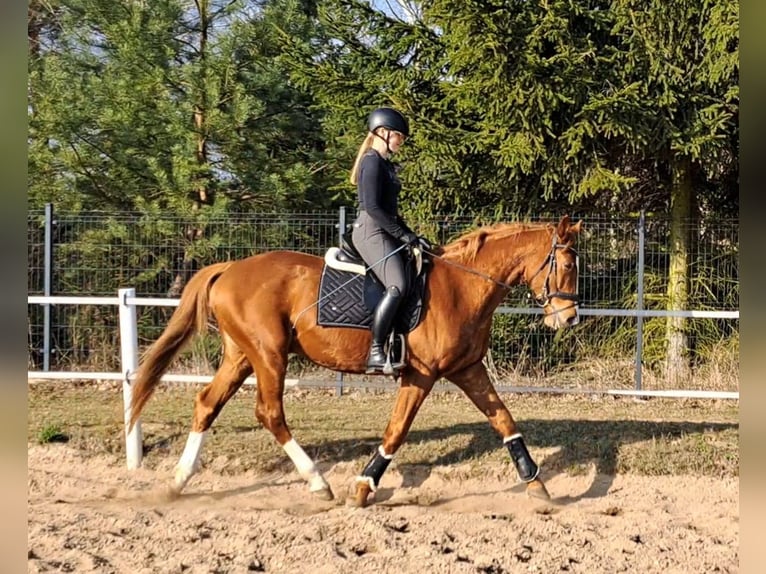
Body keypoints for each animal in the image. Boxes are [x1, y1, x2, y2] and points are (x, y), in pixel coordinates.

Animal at [127, 214, 584, 506]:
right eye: (565, 263)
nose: (569, 317)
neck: (461, 287)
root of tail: (231, 268)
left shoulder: (467, 369)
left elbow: (504, 419)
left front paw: (536, 483)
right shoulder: (421, 375)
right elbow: (397, 430)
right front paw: (364, 486)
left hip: (241, 357)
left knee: (207, 403)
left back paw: (178, 482)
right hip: (269, 355)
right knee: (270, 412)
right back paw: (318, 483)